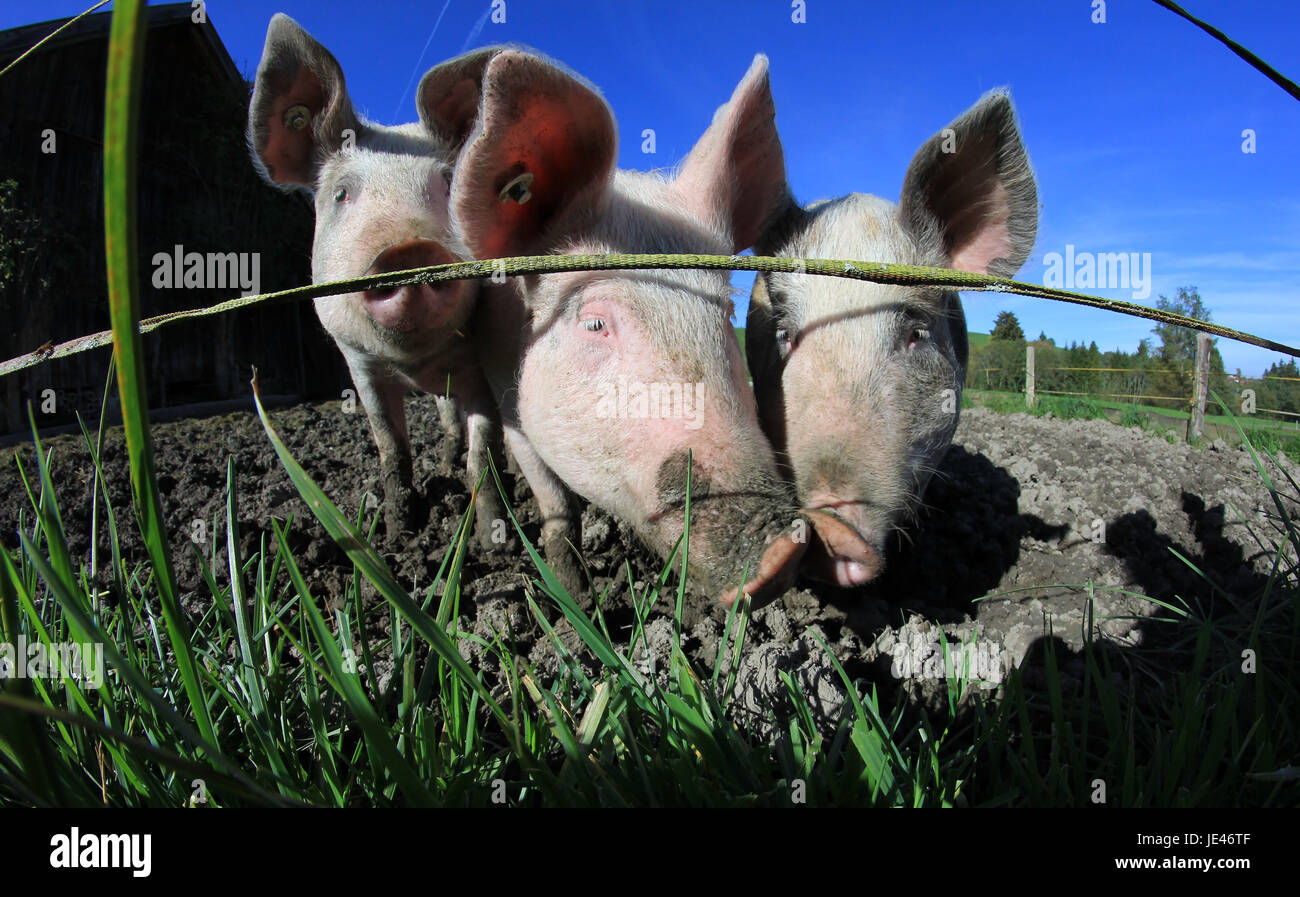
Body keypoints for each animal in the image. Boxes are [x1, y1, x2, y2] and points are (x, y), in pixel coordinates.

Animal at [245, 13, 504, 546]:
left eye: (449, 183)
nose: (410, 250)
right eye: (342, 193)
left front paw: (493, 540)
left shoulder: (477, 363)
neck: (413, 363)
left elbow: (482, 457)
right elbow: (390, 449)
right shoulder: (359, 365)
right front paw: (397, 535)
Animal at [441, 50, 878, 608]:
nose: (783, 548)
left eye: (725, 313)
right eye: (595, 322)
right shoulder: (506, 387)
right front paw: (574, 599)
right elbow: (554, 500)